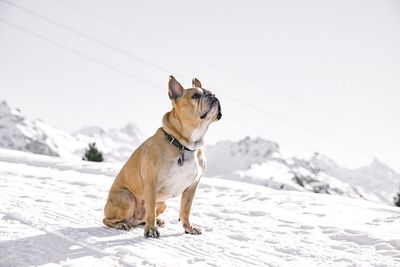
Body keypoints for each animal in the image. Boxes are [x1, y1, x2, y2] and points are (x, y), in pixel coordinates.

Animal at [103, 75, 222, 239]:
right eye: (196, 96)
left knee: (143, 217)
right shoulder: (152, 183)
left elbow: (186, 209)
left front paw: (189, 228)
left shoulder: (192, 186)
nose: (213, 95)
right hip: (127, 198)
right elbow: (151, 210)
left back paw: (155, 221)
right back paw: (122, 224)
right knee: (107, 219)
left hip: (163, 203)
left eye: (211, 92)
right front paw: (151, 230)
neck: (185, 145)